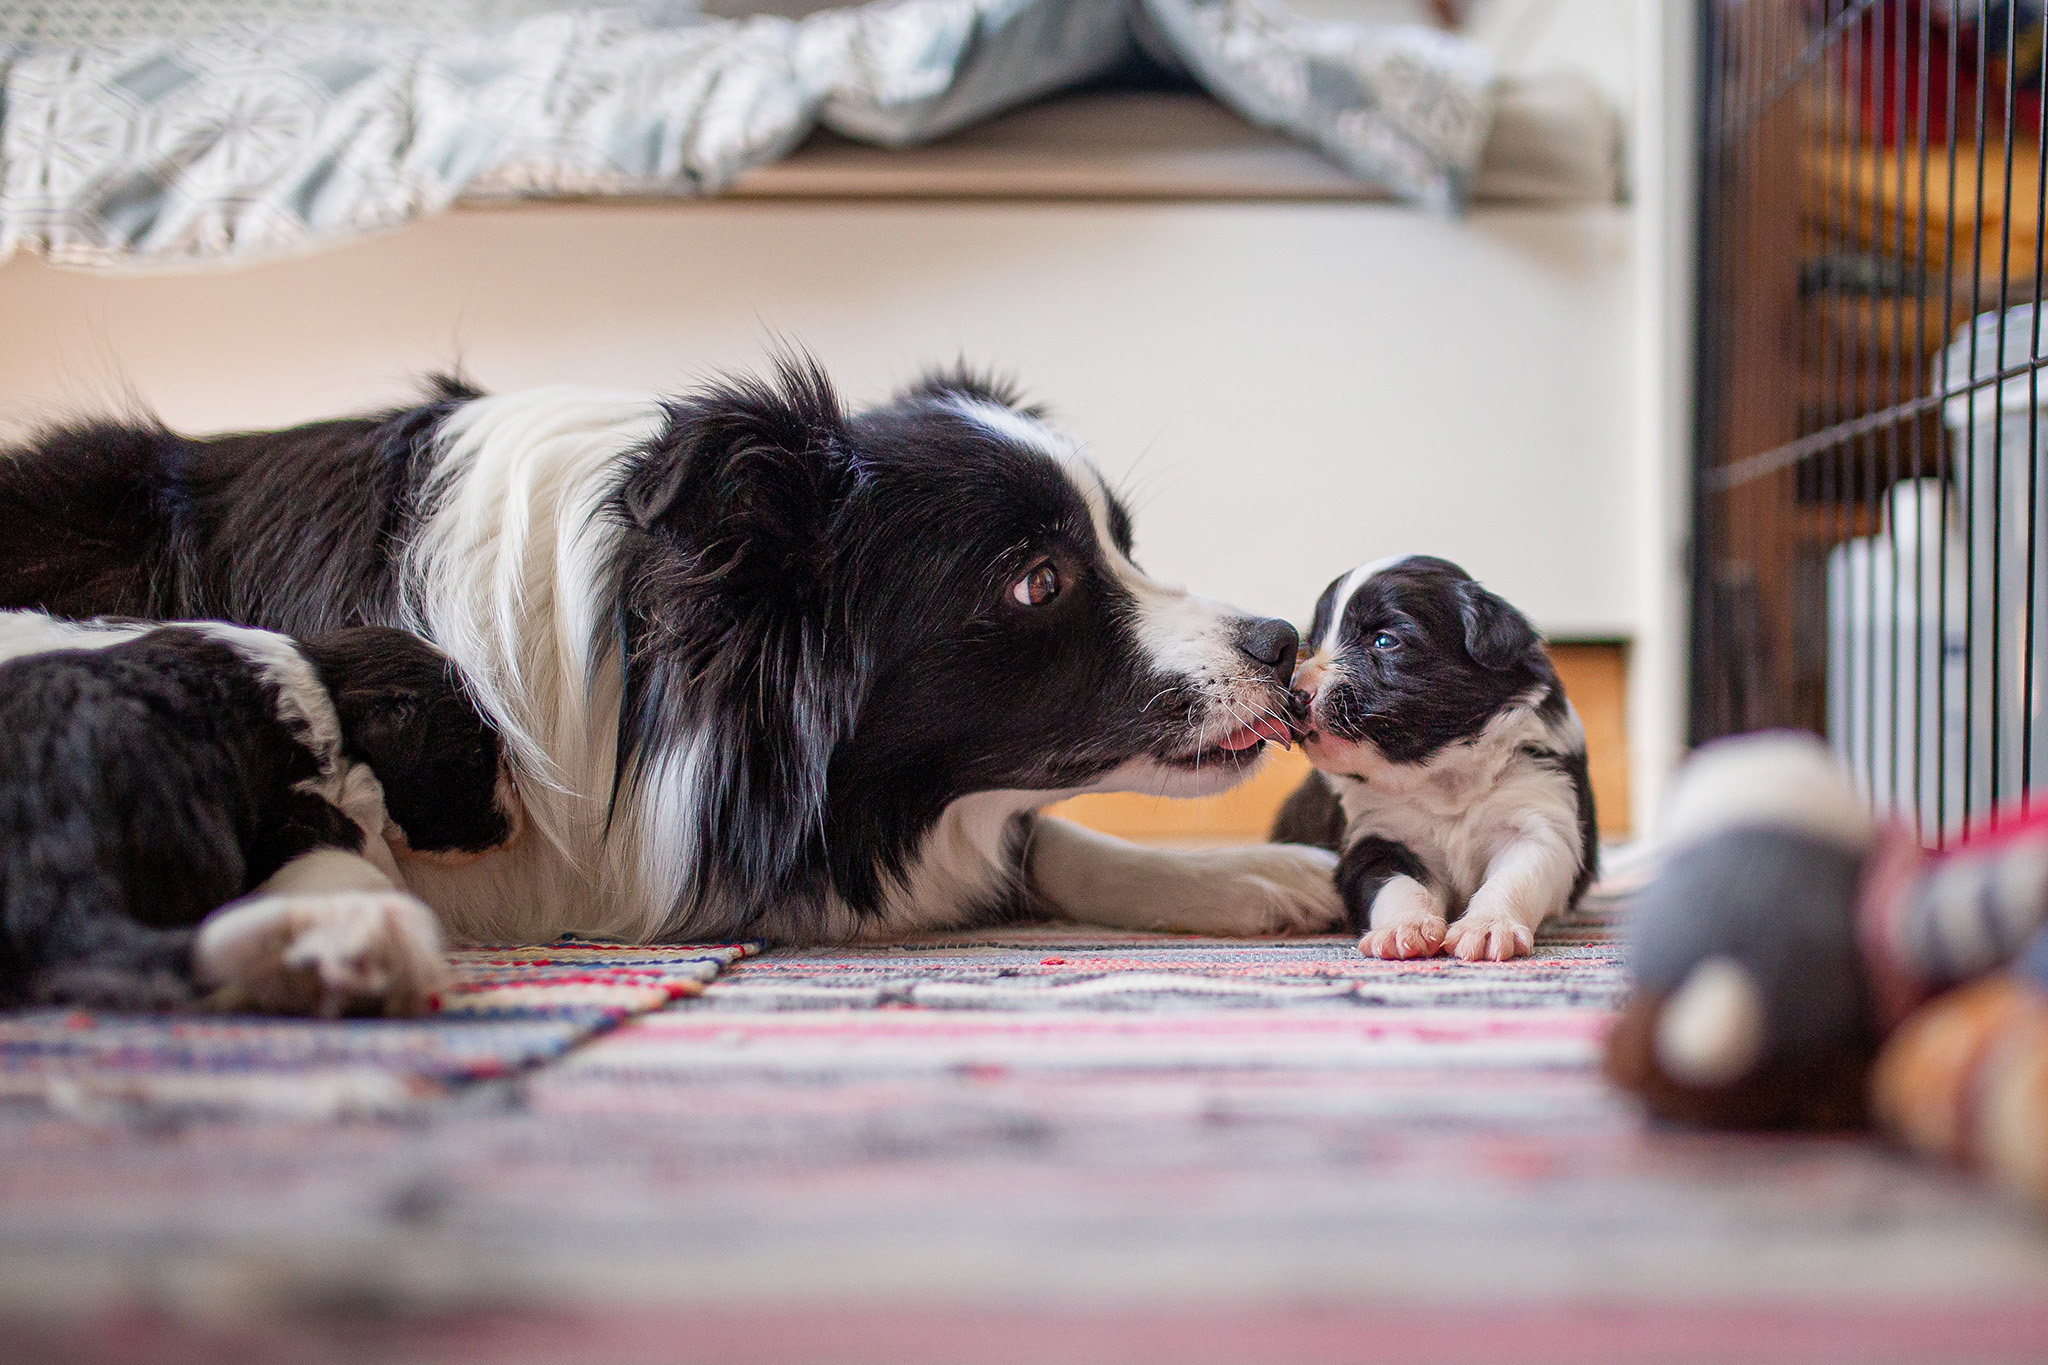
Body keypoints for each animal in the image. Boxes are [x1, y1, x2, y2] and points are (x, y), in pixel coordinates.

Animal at [1261, 556, 1597, 961]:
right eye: (1311, 644)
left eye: (1385, 640)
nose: (1294, 697)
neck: (1442, 775)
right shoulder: (1378, 835)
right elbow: (1395, 884)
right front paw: (1405, 929)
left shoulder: (1538, 812)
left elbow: (1517, 876)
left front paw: (1487, 927)